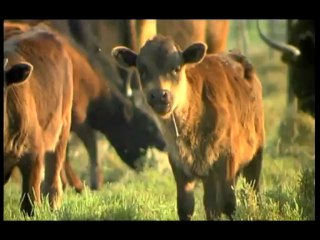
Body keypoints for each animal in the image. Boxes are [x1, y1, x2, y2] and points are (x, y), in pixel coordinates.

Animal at [112, 34, 264, 220]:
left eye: (177, 68)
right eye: (142, 70)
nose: (159, 95)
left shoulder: (227, 156)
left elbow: (229, 204)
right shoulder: (179, 162)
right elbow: (185, 206)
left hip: (256, 153)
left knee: (253, 190)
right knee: (211, 204)